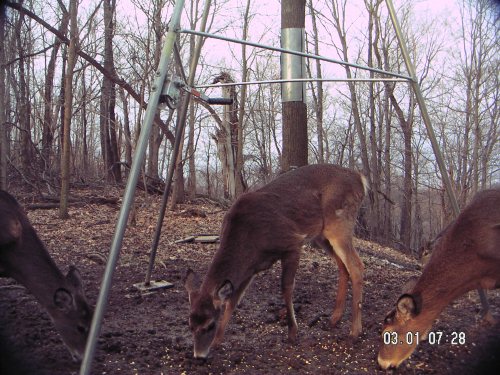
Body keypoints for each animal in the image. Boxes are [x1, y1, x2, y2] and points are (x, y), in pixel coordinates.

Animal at [184, 164, 368, 358]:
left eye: (210, 324)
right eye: (190, 325)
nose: (199, 355)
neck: (248, 238)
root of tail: (360, 179)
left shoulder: (292, 243)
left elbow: (286, 288)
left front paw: (292, 332)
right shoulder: (250, 269)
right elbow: (233, 300)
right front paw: (218, 342)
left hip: (339, 223)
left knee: (357, 265)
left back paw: (355, 331)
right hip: (321, 235)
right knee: (343, 266)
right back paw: (334, 319)